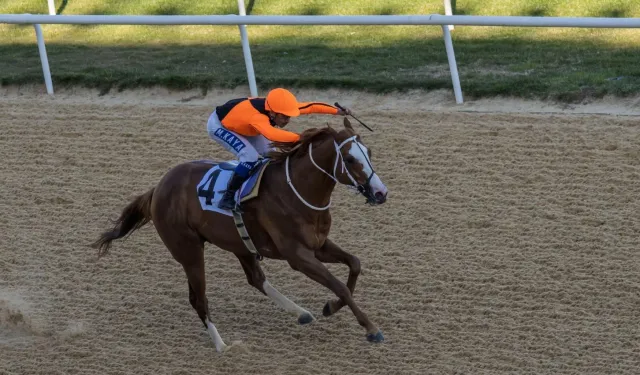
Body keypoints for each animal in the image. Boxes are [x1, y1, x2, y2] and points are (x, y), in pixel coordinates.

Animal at [90, 117, 390, 352]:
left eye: (370, 152)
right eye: (350, 159)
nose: (380, 193)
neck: (298, 191)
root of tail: (158, 188)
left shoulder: (318, 245)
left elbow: (354, 265)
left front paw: (331, 307)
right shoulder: (298, 255)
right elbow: (339, 285)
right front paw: (371, 328)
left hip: (238, 242)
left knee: (255, 278)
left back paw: (301, 313)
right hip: (188, 250)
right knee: (199, 298)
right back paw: (222, 346)